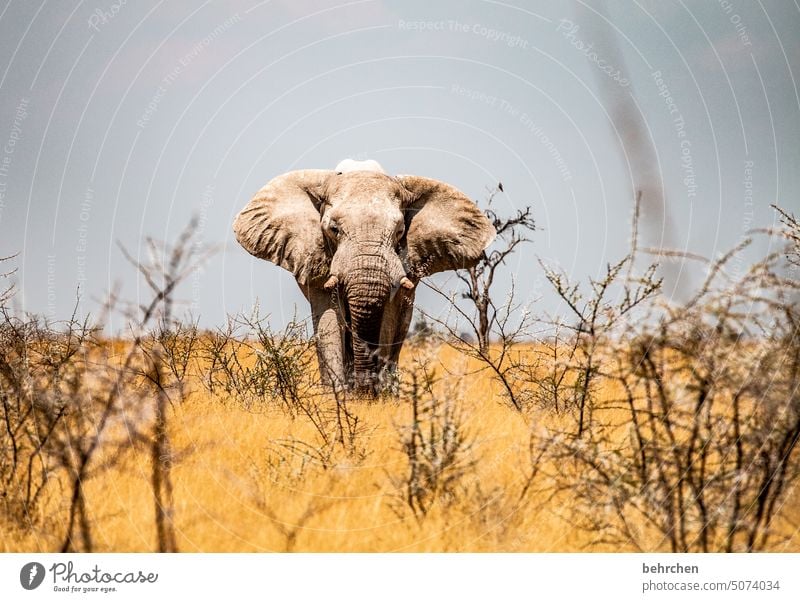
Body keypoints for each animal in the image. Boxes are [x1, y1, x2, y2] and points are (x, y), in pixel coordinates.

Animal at [230, 159, 494, 394]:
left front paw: (375, 396)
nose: (363, 389)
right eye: (333, 229)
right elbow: (329, 317)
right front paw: (339, 397)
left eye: (400, 231)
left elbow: (388, 318)